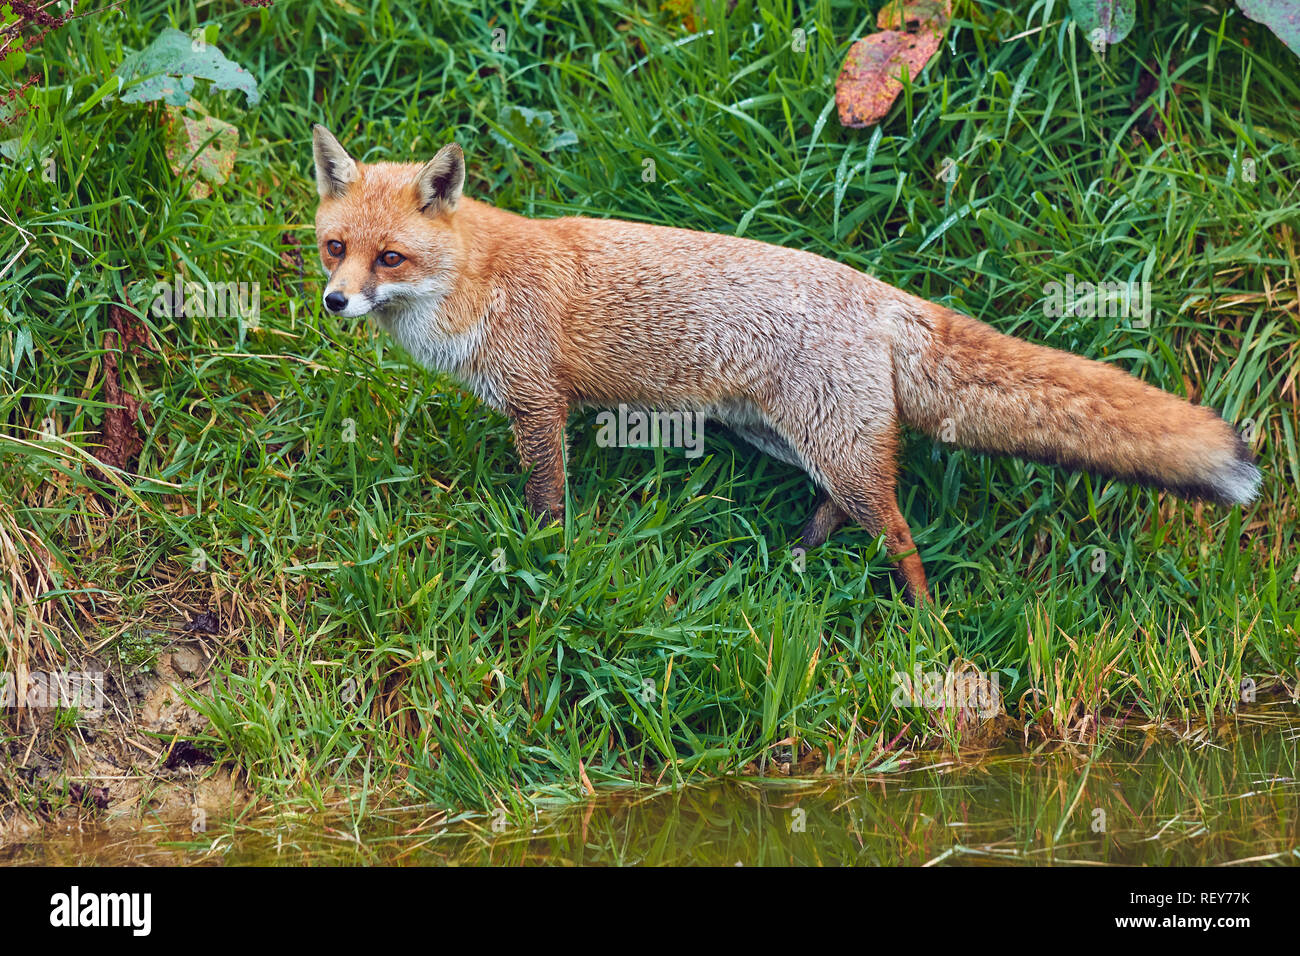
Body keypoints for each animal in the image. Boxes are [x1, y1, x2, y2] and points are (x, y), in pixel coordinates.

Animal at [306, 125, 1258, 606]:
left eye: (389, 258)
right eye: (335, 248)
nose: (335, 303)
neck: (476, 283)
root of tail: (882, 294)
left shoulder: (540, 403)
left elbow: (547, 501)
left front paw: (542, 557)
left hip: (832, 447)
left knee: (900, 531)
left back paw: (922, 623)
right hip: (787, 438)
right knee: (844, 504)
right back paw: (800, 556)